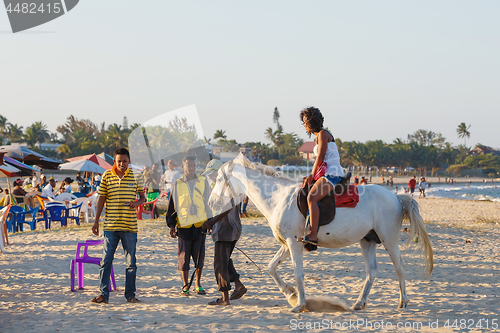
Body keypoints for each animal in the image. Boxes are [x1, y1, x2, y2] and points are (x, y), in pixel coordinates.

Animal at [211, 154, 434, 312]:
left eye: (220, 178)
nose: (212, 203)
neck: (279, 197)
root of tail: (396, 197)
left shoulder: (294, 243)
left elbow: (298, 274)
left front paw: (299, 304)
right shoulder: (288, 244)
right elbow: (271, 267)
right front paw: (289, 293)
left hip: (389, 240)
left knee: (399, 267)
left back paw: (403, 301)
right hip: (367, 241)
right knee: (372, 271)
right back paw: (359, 303)